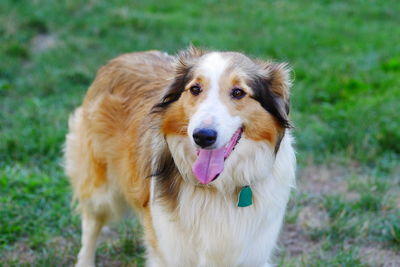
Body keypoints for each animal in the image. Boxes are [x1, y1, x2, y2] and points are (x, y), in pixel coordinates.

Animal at [65, 47, 296, 266]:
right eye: (195, 89)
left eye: (238, 92)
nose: (203, 136)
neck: (217, 188)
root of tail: (122, 57)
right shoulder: (169, 250)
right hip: (100, 187)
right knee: (91, 224)